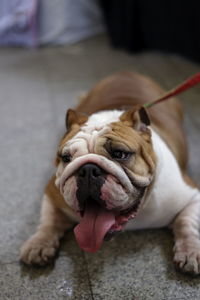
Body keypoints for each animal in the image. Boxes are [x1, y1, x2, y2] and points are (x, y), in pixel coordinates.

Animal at [19, 72, 200, 274]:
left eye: (119, 154)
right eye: (66, 157)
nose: (88, 169)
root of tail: (127, 73)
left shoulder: (191, 195)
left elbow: (187, 223)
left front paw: (189, 250)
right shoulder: (51, 191)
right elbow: (48, 221)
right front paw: (39, 244)